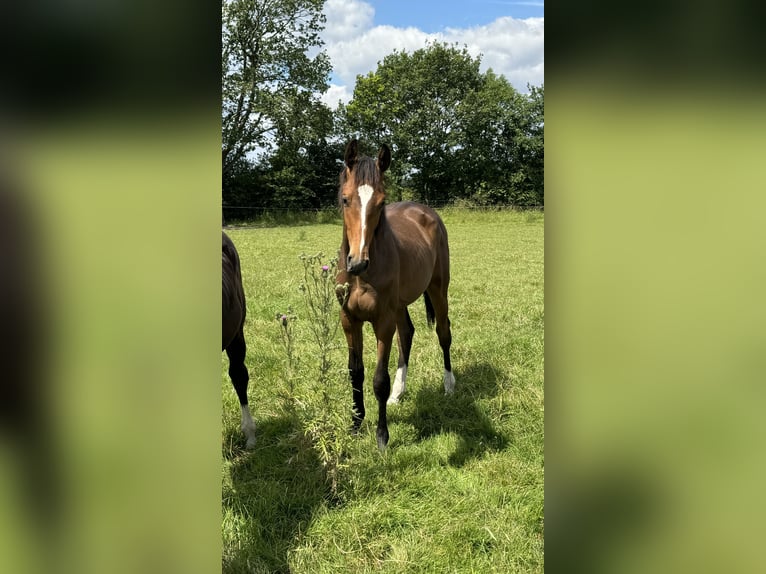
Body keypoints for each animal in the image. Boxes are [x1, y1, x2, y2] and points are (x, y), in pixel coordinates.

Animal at [338, 140, 456, 450]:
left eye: (381, 202)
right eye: (345, 199)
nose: (358, 262)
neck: (362, 276)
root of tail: (426, 212)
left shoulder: (383, 322)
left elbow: (379, 378)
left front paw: (382, 437)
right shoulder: (349, 320)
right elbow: (355, 372)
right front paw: (355, 424)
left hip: (438, 289)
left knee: (443, 332)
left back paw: (449, 385)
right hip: (400, 305)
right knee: (408, 333)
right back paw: (398, 394)